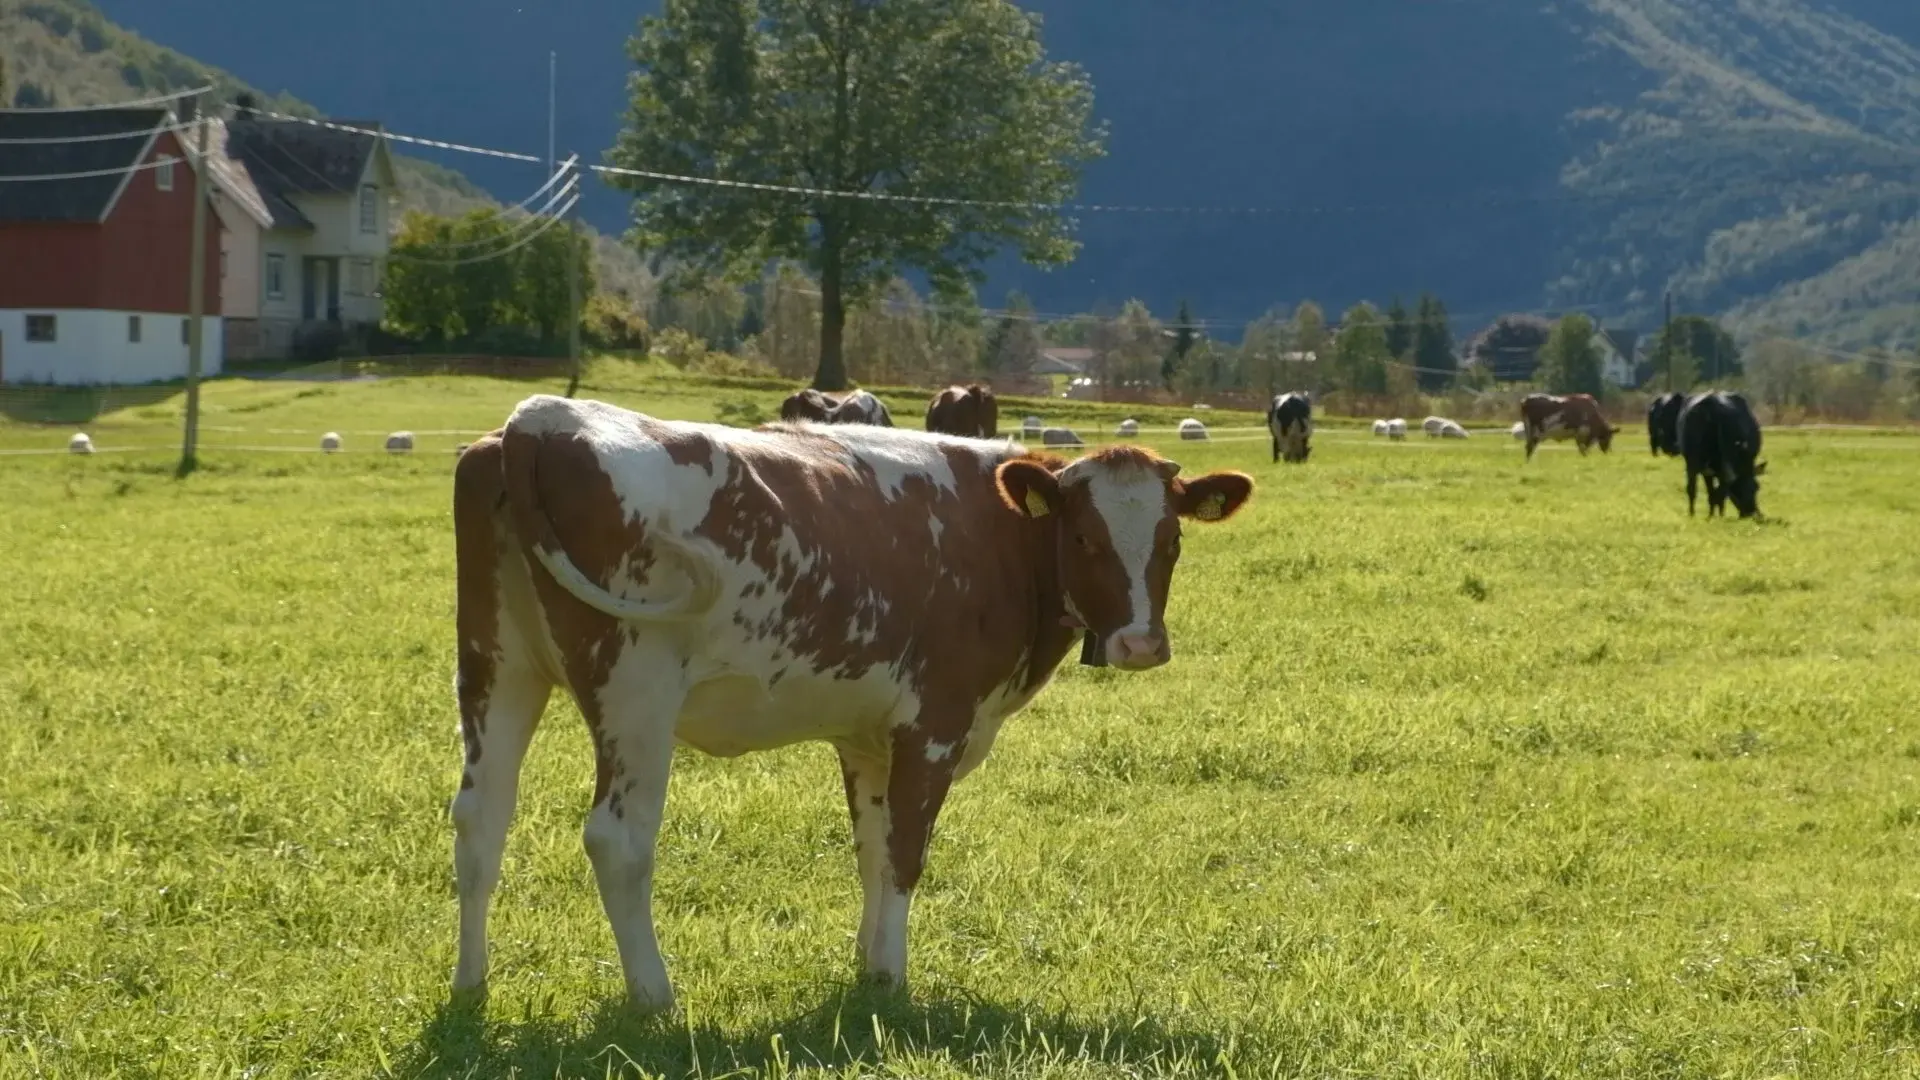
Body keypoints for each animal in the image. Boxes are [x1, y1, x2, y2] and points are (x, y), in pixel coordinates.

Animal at [447, 394, 1255, 1011]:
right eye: (1084, 536)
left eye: (1172, 539)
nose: (1141, 644)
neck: (1000, 537)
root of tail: (544, 420)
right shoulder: (935, 725)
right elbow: (905, 853)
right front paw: (893, 978)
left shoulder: (870, 737)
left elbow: (871, 849)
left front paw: (868, 966)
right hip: (635, 692)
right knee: (618, 840)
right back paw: (654, 996)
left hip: (497, 667)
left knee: (481, 818)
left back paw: (471, 984)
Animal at [1677, 390, 1766, 518]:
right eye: (1756, 488)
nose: (1751, 512)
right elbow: (1720, 493)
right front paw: (1718, 515)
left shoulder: (1707, 471)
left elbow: (1712, 492)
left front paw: (1713, 514)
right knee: (1716, 490)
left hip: (1692, 461)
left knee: (1692, 489)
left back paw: (1693, 514)